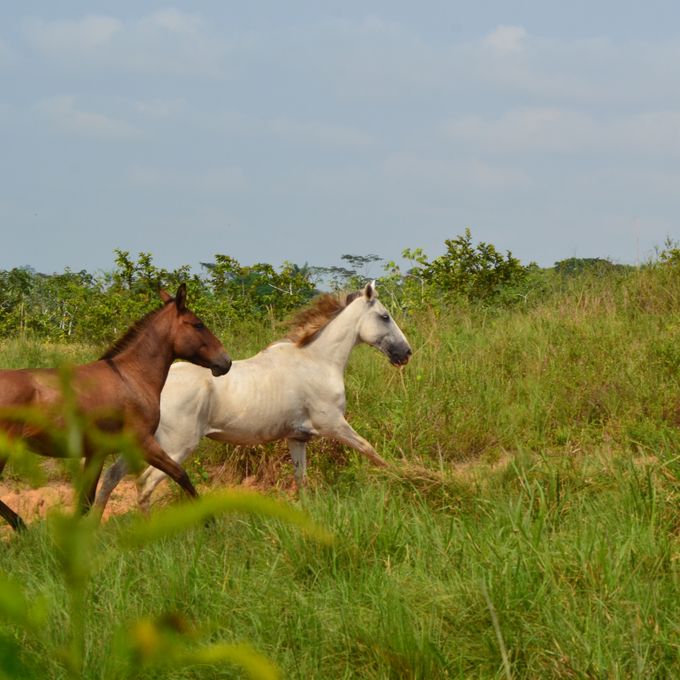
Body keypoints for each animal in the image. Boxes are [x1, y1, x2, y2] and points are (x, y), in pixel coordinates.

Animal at [0, 284, 231, 531]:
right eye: (198, 324)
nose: (225, 362)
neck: (131, 376)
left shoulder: (97, 453)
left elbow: (86, 501)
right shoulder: (142, 442)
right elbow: (180, 474)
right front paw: (209, 521)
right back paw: (20, 526)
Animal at [95, 281, 412, 511]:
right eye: (385, 316)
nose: (405, 353)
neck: (318, 361)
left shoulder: (297, 438)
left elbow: (301, 479)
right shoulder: (333, 424)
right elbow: (372, 451)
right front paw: (399, 477)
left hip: (143, 444)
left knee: (110, 478)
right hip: (174, 447)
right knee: (145, 485)